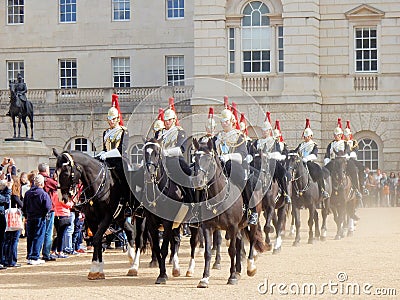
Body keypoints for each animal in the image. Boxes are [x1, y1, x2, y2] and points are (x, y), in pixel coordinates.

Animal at [51, 149, 142, 278]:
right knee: (130, 231)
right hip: (120, 217)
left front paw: (95, 268)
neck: (99, 185)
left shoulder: (107, 217)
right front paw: (97, 269)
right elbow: (97, 240)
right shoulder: (91, 219)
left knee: (139, 238)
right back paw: (132, 261)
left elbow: (97, 239)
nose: (61, 198)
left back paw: (135, 265)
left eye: (65, 173)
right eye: (55, 174)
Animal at [191, 139, 266, 288]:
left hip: (251, 222)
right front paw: (204, 278)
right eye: (194, 159)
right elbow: (208, 252)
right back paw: (238, 270)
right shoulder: (208, 227)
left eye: (208, 159)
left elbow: (231, 250)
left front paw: (231, 277)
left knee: (252, 240)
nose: (197, 181)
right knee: (239, 241)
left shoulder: (232, 226)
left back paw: (250, 267)